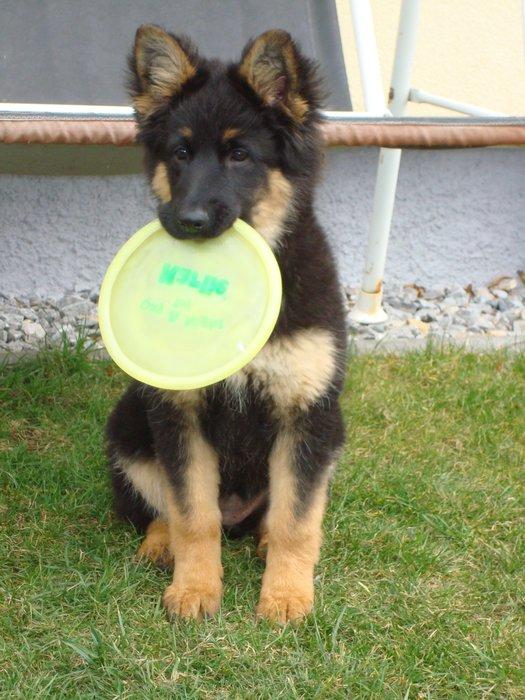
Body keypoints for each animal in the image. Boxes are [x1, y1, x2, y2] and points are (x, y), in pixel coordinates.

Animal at [106, 25, 347, 623]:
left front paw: (286, 597)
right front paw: (194, 590)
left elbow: (295, 520)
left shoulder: (307, 413)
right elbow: (193, 513)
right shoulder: (179, 414)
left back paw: (261, 541)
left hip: (333, 435)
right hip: (128, 426)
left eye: (240, 154)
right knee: (165, 509)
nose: (188, 222)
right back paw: (161, 544)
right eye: (181, 152)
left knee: (280, 514)